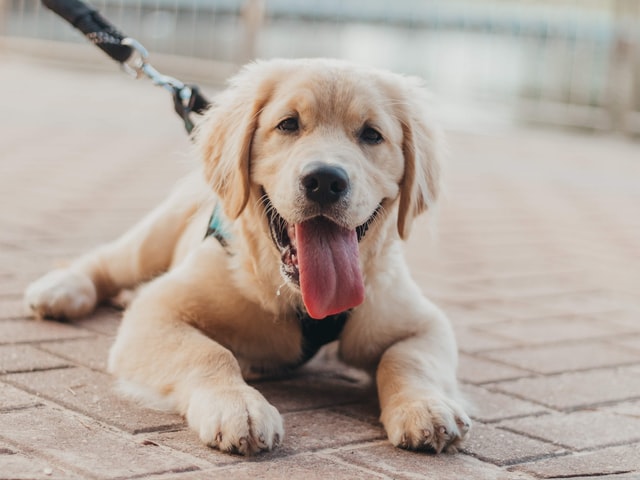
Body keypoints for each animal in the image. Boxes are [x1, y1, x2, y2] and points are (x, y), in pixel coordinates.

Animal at [23, 56, 470, 454]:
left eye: (372, 135)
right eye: (288, 124)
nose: (325, 180)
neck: (297, 298)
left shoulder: (424, 322)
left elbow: (407, 359)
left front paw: (426, 406)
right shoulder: (157, 309)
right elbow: (210, 352)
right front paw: (239, 407)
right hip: (154, 238)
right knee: (108, 261)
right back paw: (61, 289)